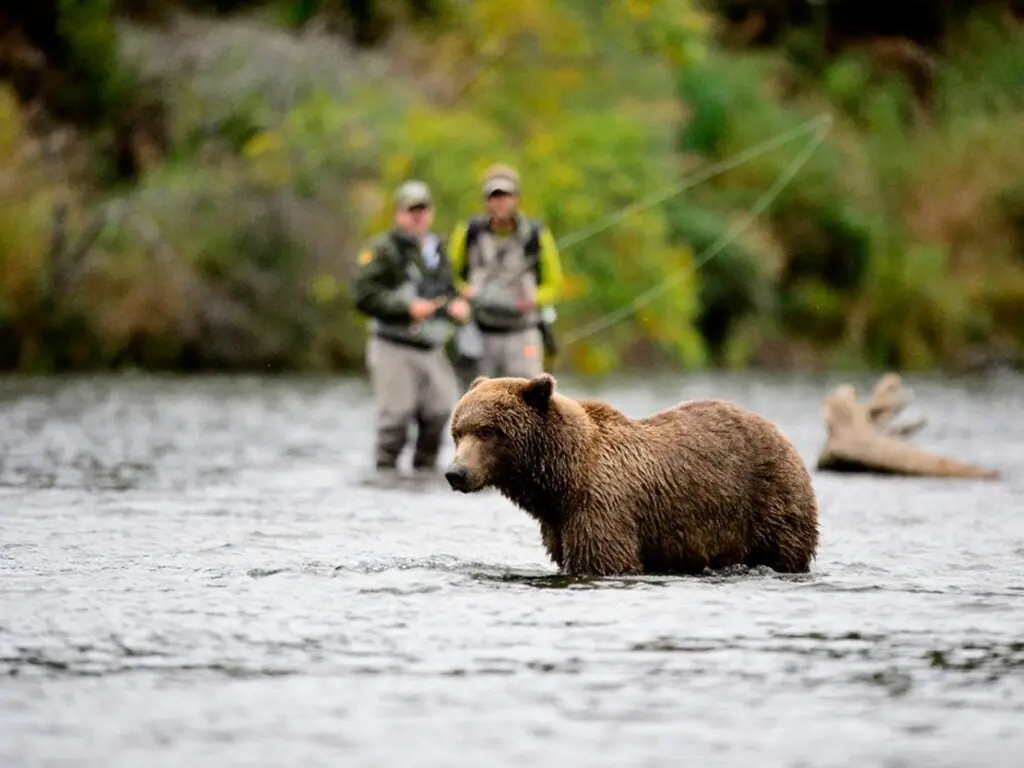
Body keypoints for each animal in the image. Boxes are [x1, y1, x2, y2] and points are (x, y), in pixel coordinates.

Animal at [444, 372, 819, 577]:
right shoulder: (558, 524)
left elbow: (605, 558)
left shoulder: (601, 508)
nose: (455, 473)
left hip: (769, 500)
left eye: (488, 431)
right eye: (458, 431)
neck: (561, 480)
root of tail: (778, 431)